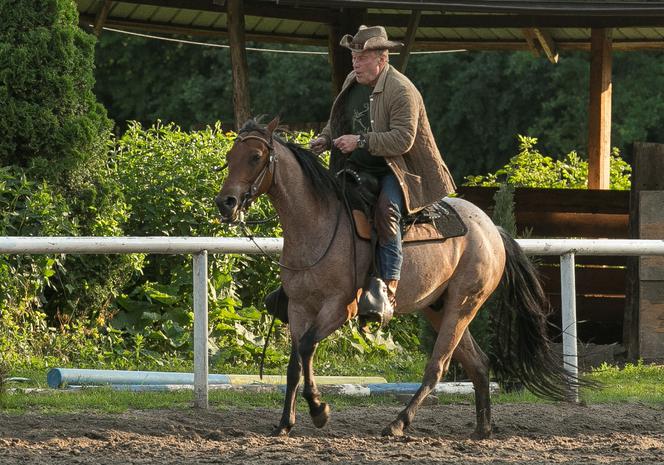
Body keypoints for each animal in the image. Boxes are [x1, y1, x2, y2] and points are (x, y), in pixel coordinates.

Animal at [215, 117, 584, 438]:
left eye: (255, 156)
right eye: (229, 157)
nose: (225, 203)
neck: (318, 224)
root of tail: (492, 228)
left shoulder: (339, 309)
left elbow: (306, 348)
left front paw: (319, 410)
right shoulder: (298, 307)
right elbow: (295, 362)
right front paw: (285, 423)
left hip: (463, 304)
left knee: (437, 366)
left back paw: (398, 423)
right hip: (438, 307)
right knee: (478, 363)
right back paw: (482, 429)